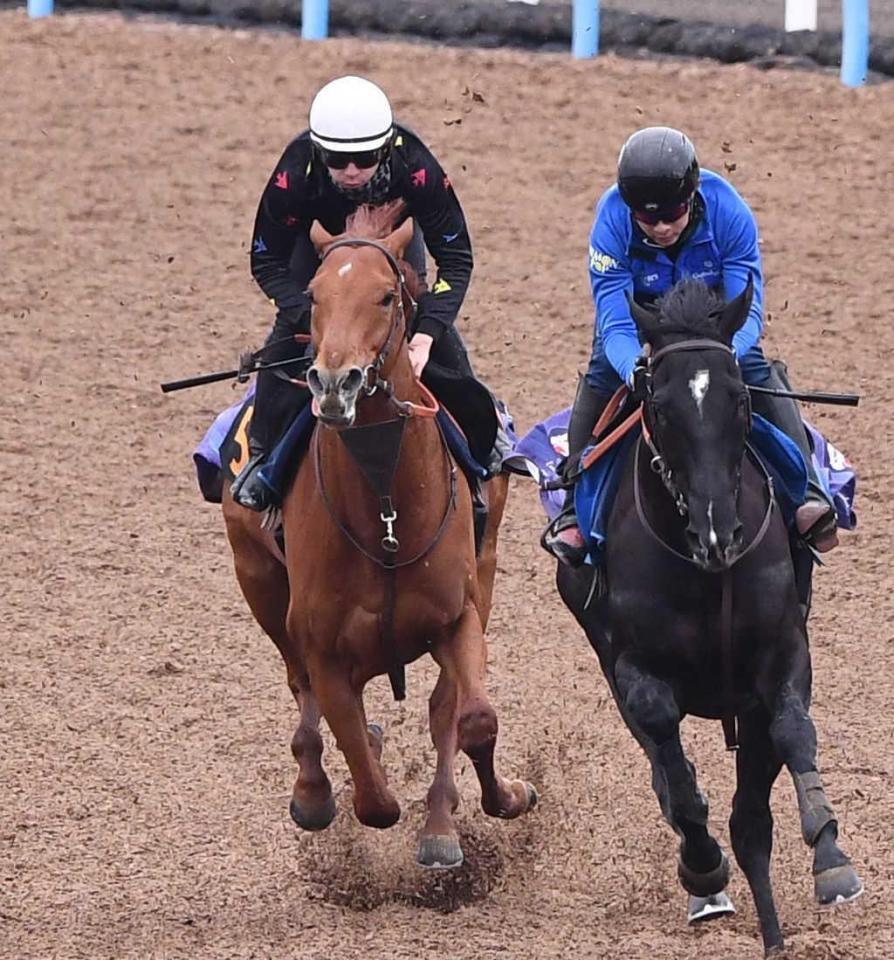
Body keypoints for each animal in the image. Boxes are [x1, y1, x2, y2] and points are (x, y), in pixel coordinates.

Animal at [221, 203, 536, 869]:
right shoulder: (323, 648)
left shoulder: (459, 616)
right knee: (301, 690)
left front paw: (503, 797)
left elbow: (473, 719)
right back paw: (314, 789)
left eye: (387, 296)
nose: (333, 383)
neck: (386, 513)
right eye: (314, 295)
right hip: (258, 580)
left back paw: (441, 823)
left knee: (443, 708)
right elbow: (372, 796)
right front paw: (340, 778)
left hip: (488, 564)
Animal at [555, 278, 861, 955]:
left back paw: (773, 935)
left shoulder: (781, 657)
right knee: (671, 773)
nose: (719, 532)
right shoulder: (634, 669)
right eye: (661, 407)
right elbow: (671, 760)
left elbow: (794, 735)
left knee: (751, 822)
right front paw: (702, 867)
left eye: (741, 399)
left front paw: (832, 860)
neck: (708, 571)